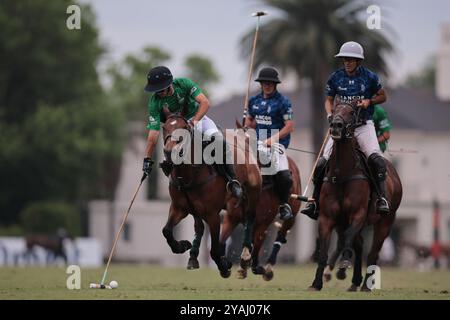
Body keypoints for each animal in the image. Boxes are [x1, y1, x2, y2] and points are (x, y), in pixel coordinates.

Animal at [161, 112, 260, 278]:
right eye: (164, 128)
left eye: (184, 128)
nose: (169, 152)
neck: (188, 175)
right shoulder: (179, 208)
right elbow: (167, 230)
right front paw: (182, 246)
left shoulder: (212, 215)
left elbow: (214, 249)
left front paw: (224, 266)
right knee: (201, 226)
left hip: (252, 194)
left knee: (250, 218)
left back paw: (246, 256)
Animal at [312, 101, 402, 292]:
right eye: (334, 111)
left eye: (352, 112)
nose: (336, 126)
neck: (341, 173)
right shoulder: (327, 217)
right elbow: (324, 250)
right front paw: (316, 283)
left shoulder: (358, 214)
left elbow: (348, 239)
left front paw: (343, 265)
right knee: (359, 244)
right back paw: (354, 282)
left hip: (385, 221)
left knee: (372, 253)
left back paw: (365, 285)